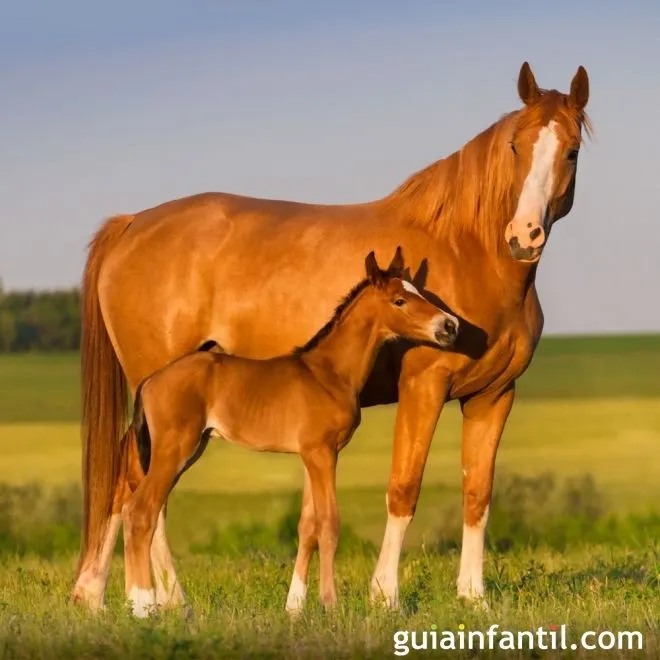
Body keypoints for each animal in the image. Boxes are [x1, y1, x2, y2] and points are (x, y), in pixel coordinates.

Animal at [117, 249, 458, 620]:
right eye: (399, 300)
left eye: (419, 292)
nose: (449, 327)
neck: (329, 373)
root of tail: (150, 381)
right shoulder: (322, 453)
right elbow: (329, 523)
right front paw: (331, 605)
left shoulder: (312, 455)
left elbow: (308, 524)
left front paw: (296, 607)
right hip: (174, 450)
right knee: (140, 511)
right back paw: (142, 606)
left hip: (188, 450)